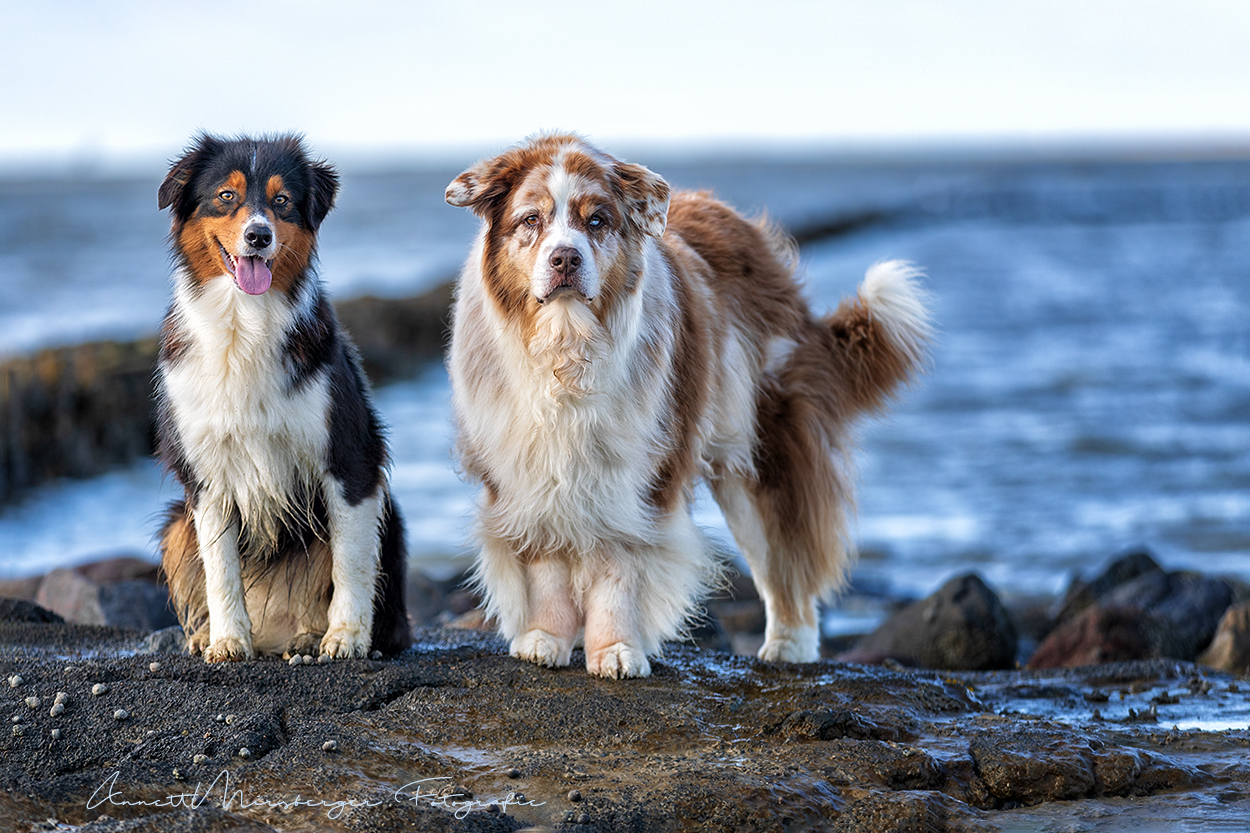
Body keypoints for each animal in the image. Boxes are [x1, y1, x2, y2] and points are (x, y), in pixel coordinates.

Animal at [154, 133, 410, 660]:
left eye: (283, 201)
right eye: (226, 196)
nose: (258, 236)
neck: (243, 322)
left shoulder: (350, 457)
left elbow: (351, 560)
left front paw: (346, 637)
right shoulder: (205, 474)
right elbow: (220, 569)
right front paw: (228, 641)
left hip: (389, 511)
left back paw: (313, 635)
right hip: (174, 524)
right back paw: (210, 634)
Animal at [442, 131, 930, 675]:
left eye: (597, 220)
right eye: (531, 220)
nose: (565, 258)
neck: (567, 349)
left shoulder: (640, 472)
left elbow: (619, 563)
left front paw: (616, 650)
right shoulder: (526, 471)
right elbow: (548, 562)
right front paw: (547, 638)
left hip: (760, 447)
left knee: (783, 553)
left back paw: (790, 645)